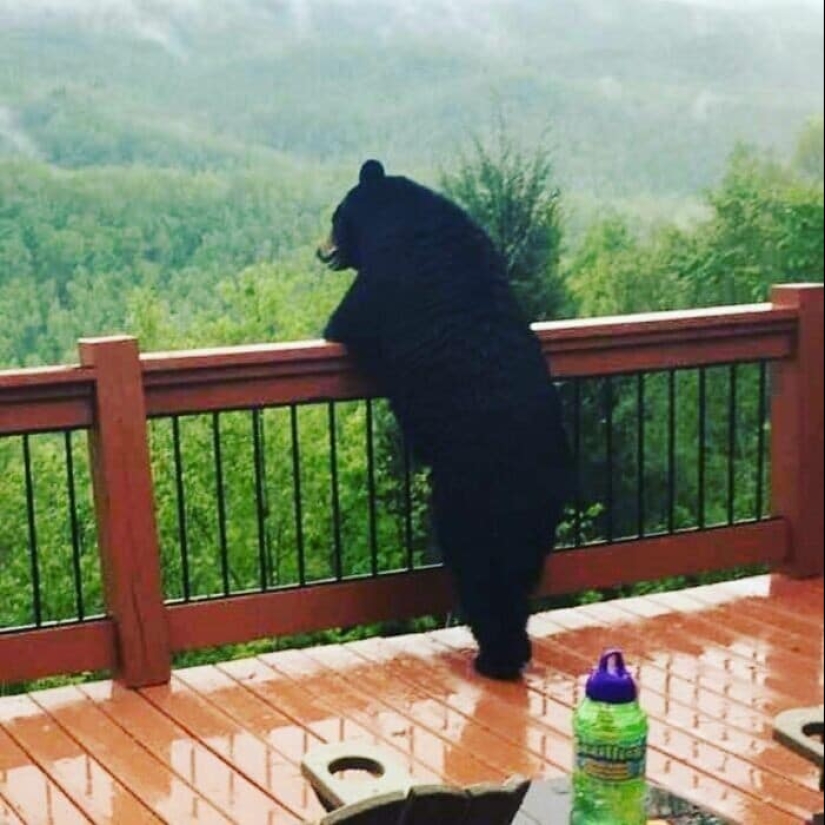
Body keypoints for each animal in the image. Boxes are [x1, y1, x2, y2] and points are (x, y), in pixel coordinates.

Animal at [318, 159, 573, 680]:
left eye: (335, 217)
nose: (321, 249)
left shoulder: (381, 282)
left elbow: (343, 322)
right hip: (539, 509)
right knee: (521, 572)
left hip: (468, 493)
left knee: (478, 566)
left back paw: (493, 657)